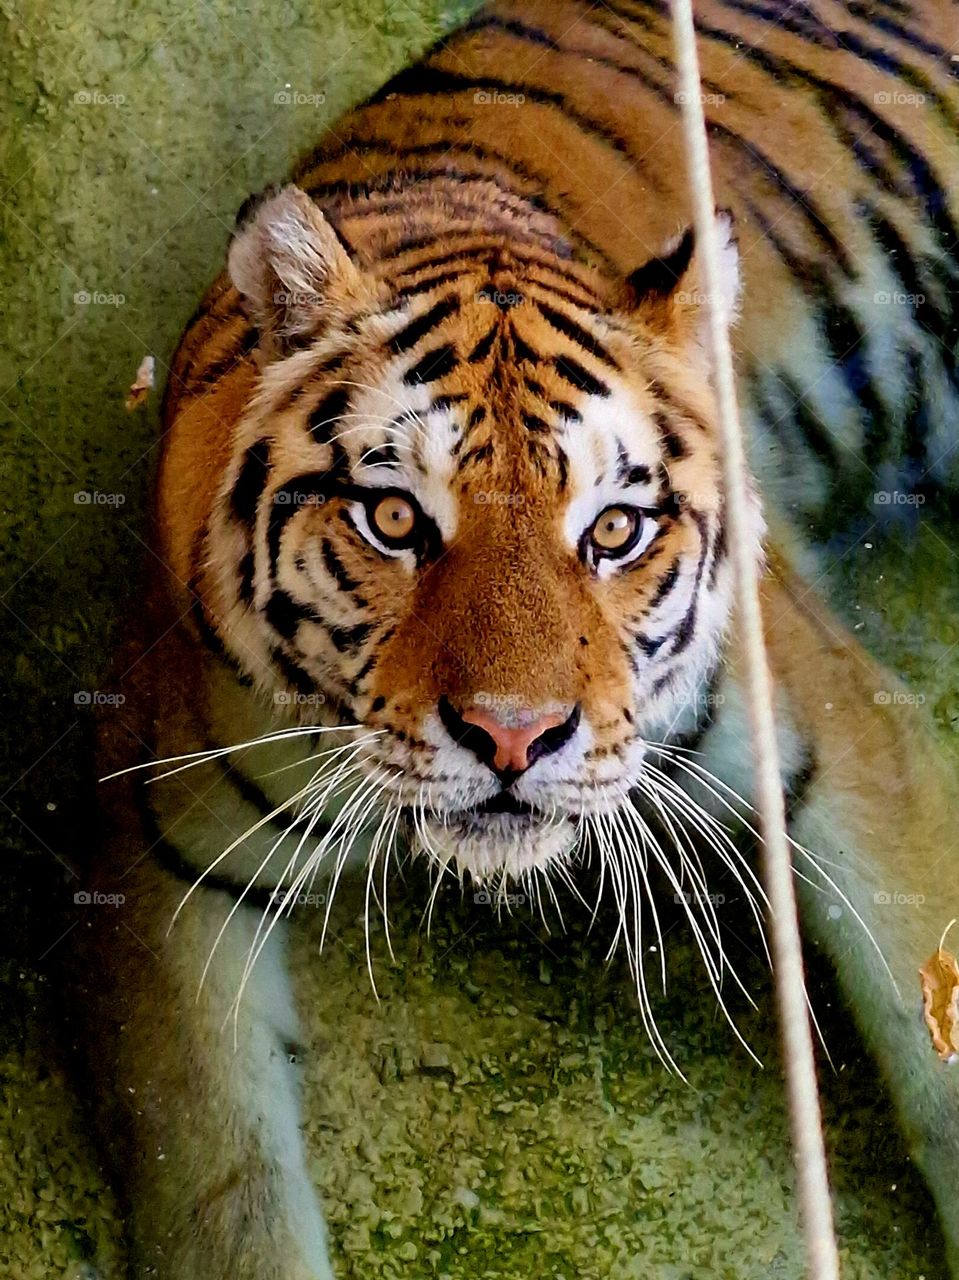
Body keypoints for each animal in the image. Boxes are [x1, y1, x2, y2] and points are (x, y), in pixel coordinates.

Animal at [73, 0, 959, 1277]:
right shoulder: (155, 858)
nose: (512, 738)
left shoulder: (850, 735)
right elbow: (221, 1182)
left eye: (613, 528)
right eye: (393, 518)